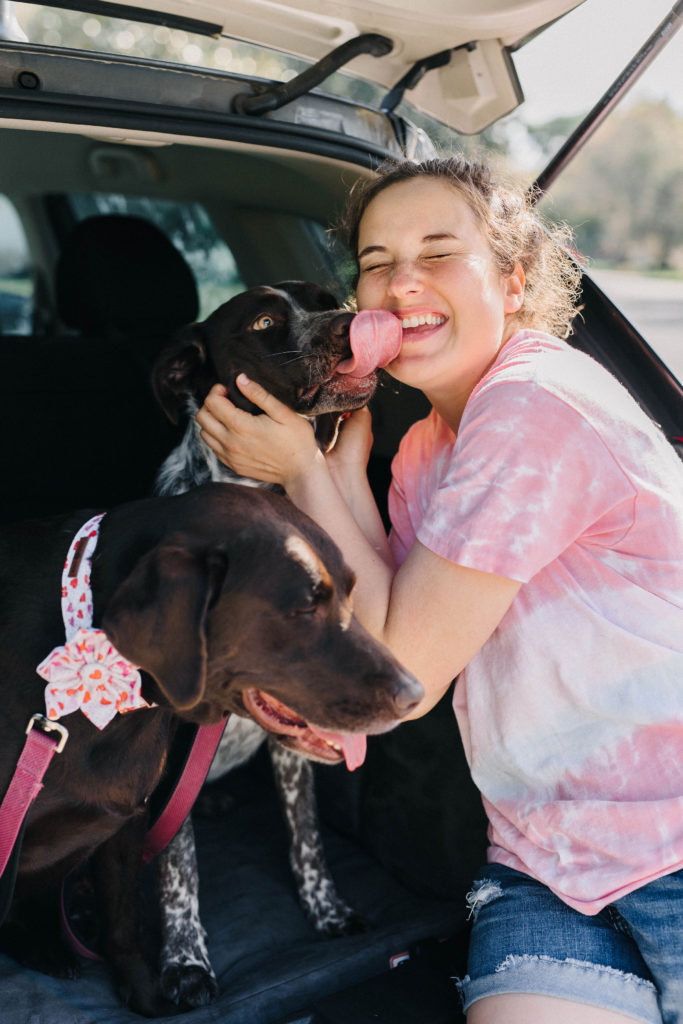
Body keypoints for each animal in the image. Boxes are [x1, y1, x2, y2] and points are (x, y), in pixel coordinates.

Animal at [151, 282, 382, 1007]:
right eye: (260, 322)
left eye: (330, 299)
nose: (349, 322)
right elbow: (179, 868)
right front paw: (184, 963)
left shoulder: (296, 731)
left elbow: (306, 833)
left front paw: (326, 910)